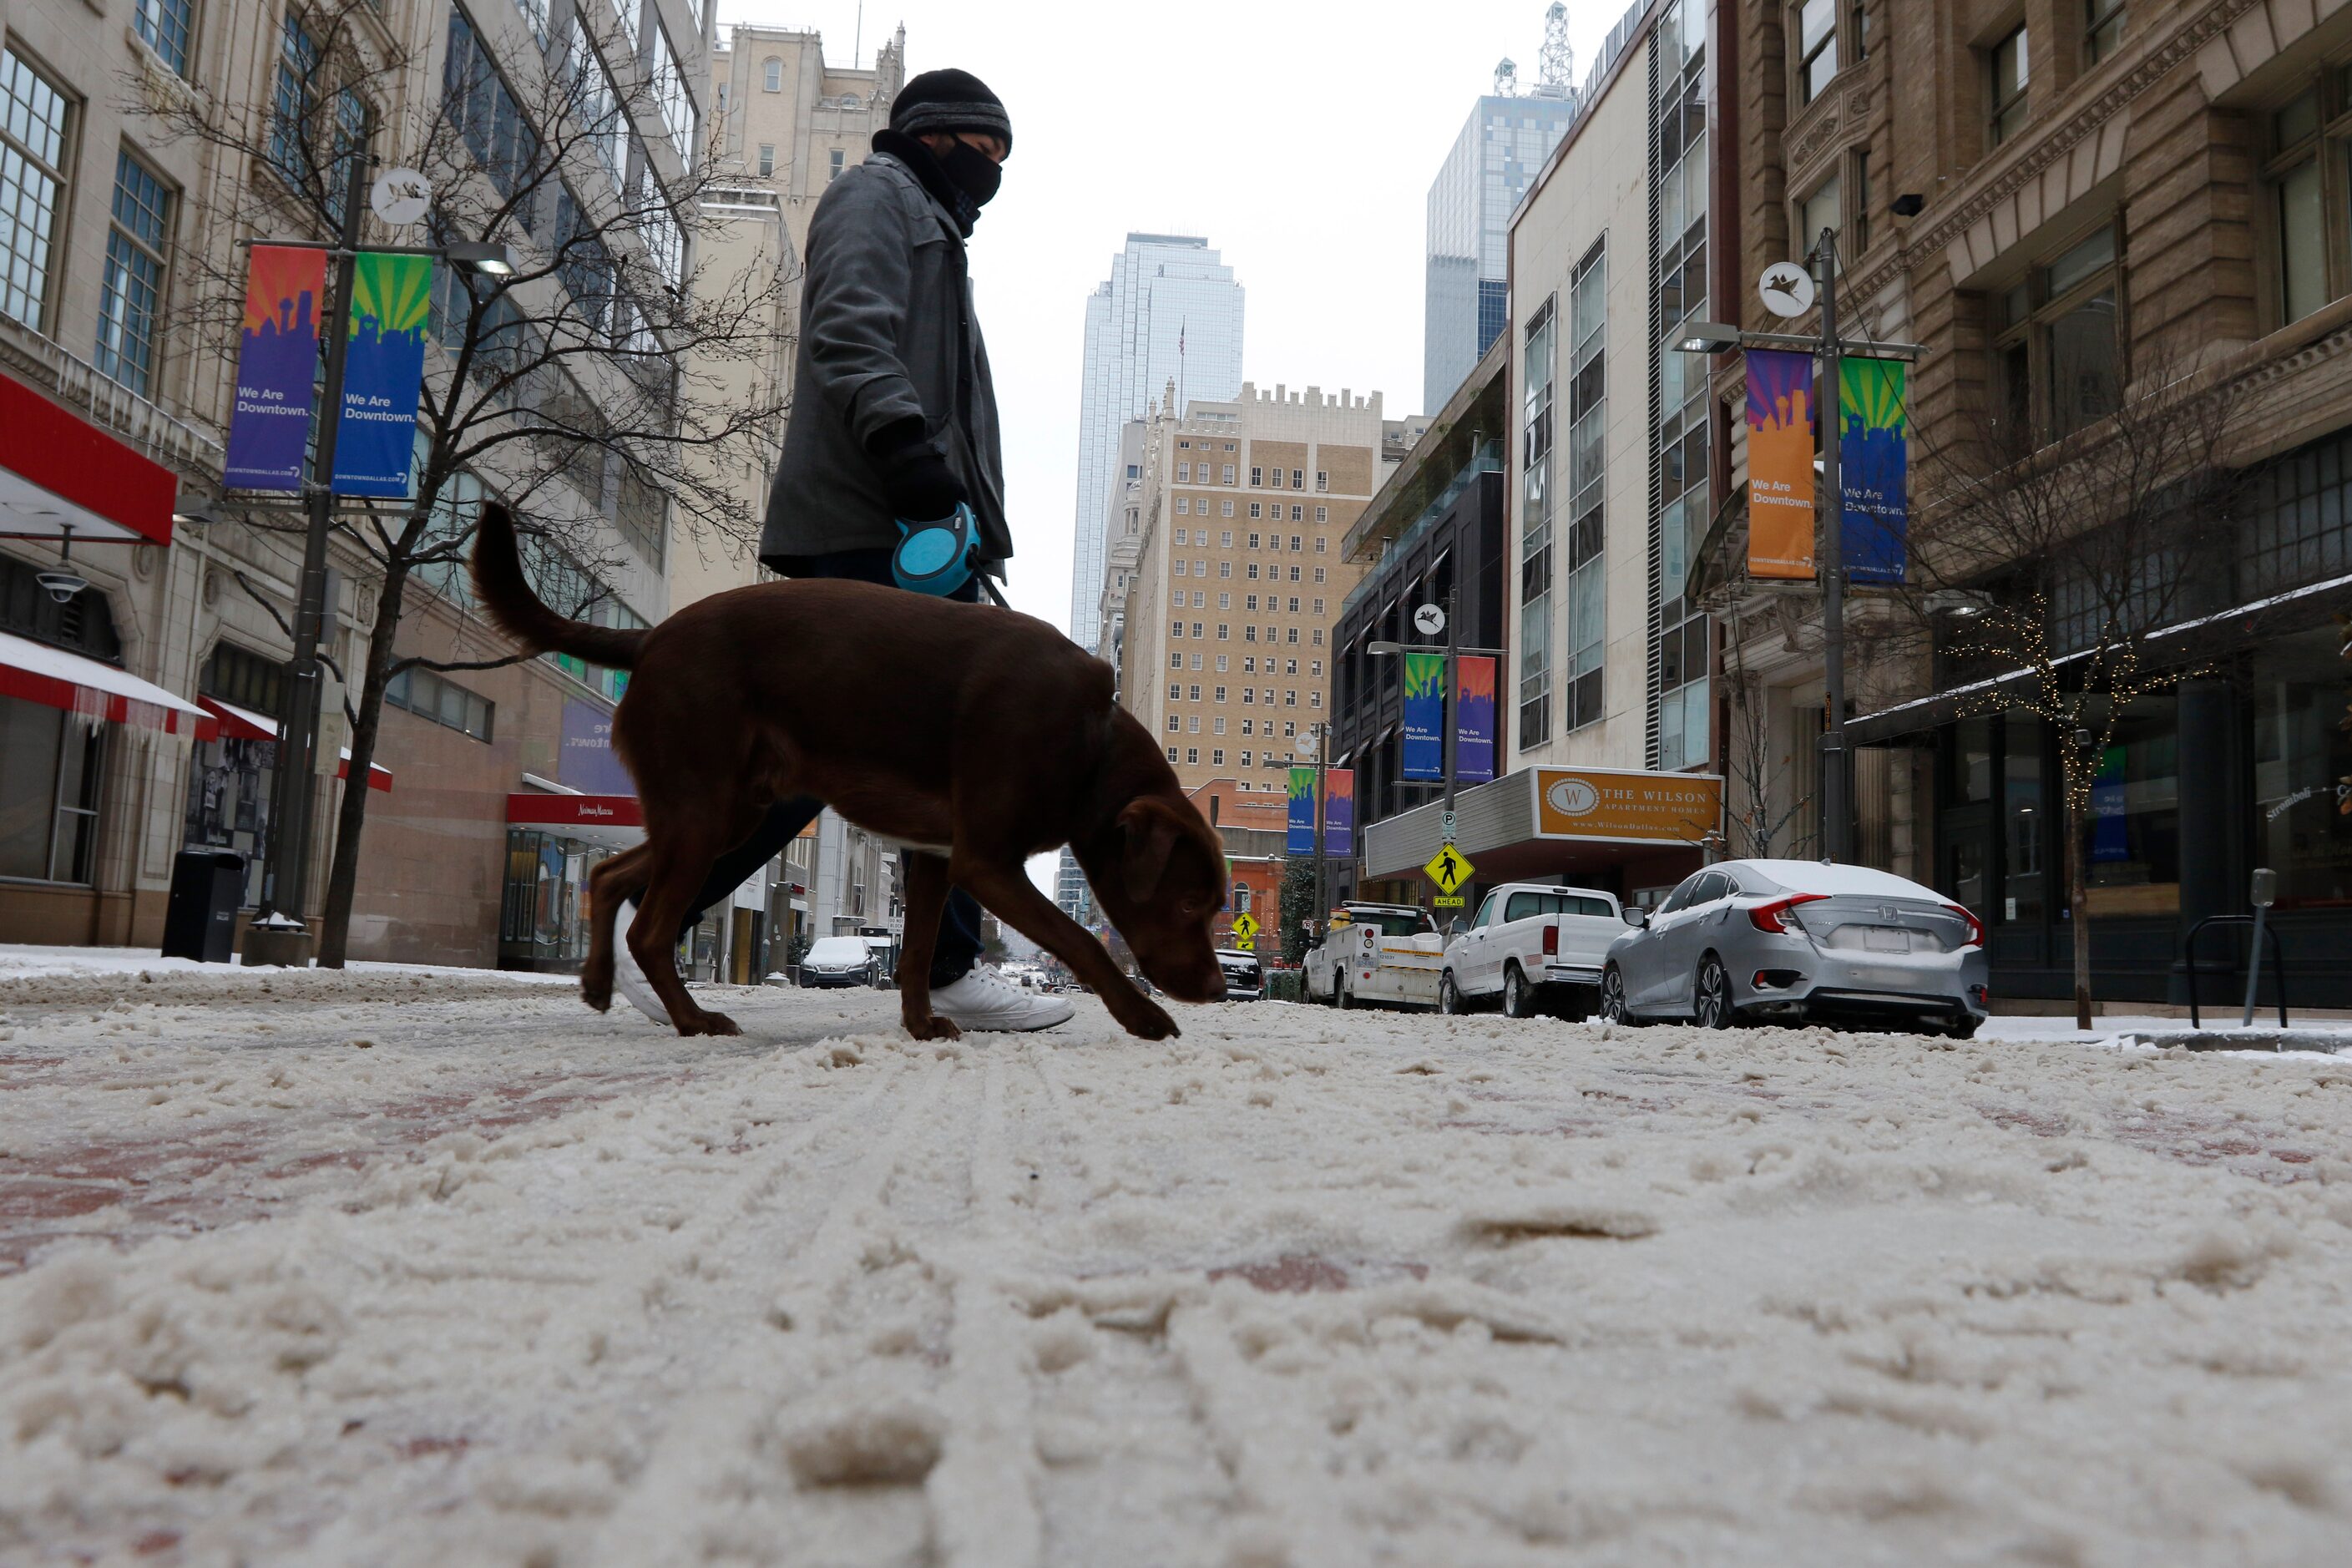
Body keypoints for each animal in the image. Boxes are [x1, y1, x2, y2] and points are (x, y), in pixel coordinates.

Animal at [468, 505, 1222, 1044]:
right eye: (1189, 905)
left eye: (1216, 908)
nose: (1219, 990)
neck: (1091, 741)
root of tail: (649, 637)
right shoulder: (986, 863)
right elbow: (1080, 942)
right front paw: (1142, 1016)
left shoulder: (936, 857)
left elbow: (916, 953)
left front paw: (920, 1025)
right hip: (704, 810)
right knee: (649, 929)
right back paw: (691, 1020)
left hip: (722, 813)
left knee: (607, 874)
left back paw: (600, 983)